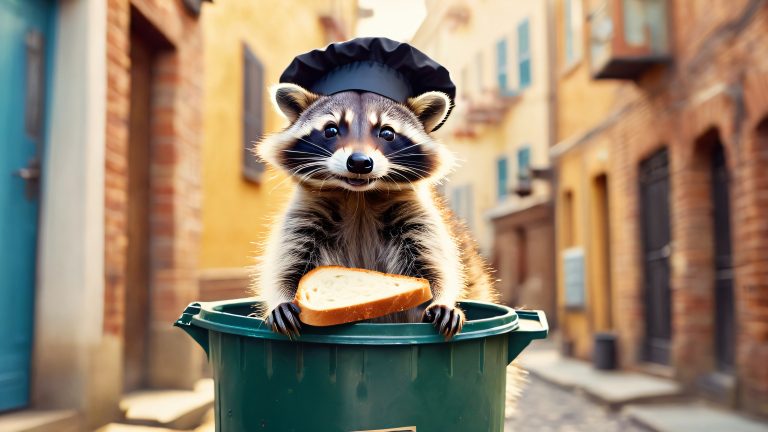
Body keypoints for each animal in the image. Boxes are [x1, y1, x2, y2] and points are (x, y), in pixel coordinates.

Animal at [253, 83, 497, 338]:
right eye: (330, 130)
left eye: (387, 133)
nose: (359, 162)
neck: (358, 197)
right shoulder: (304, 217)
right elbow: (288, 264)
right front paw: (281, 299)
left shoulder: (417, 219)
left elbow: (433, 266)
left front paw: (441, 300)